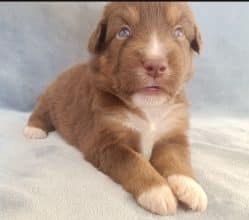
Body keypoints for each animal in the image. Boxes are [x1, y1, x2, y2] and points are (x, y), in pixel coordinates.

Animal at [24, 1, 208, 215]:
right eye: (123, 32)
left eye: (178, 32)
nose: (155, 65)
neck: (149, 109)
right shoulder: (105, 142)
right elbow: (133, 161)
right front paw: (158, 192)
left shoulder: (172, 134)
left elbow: (177, 159)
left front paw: (191, 187)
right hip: (51, 96)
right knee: (40, 112)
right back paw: (34, 130)